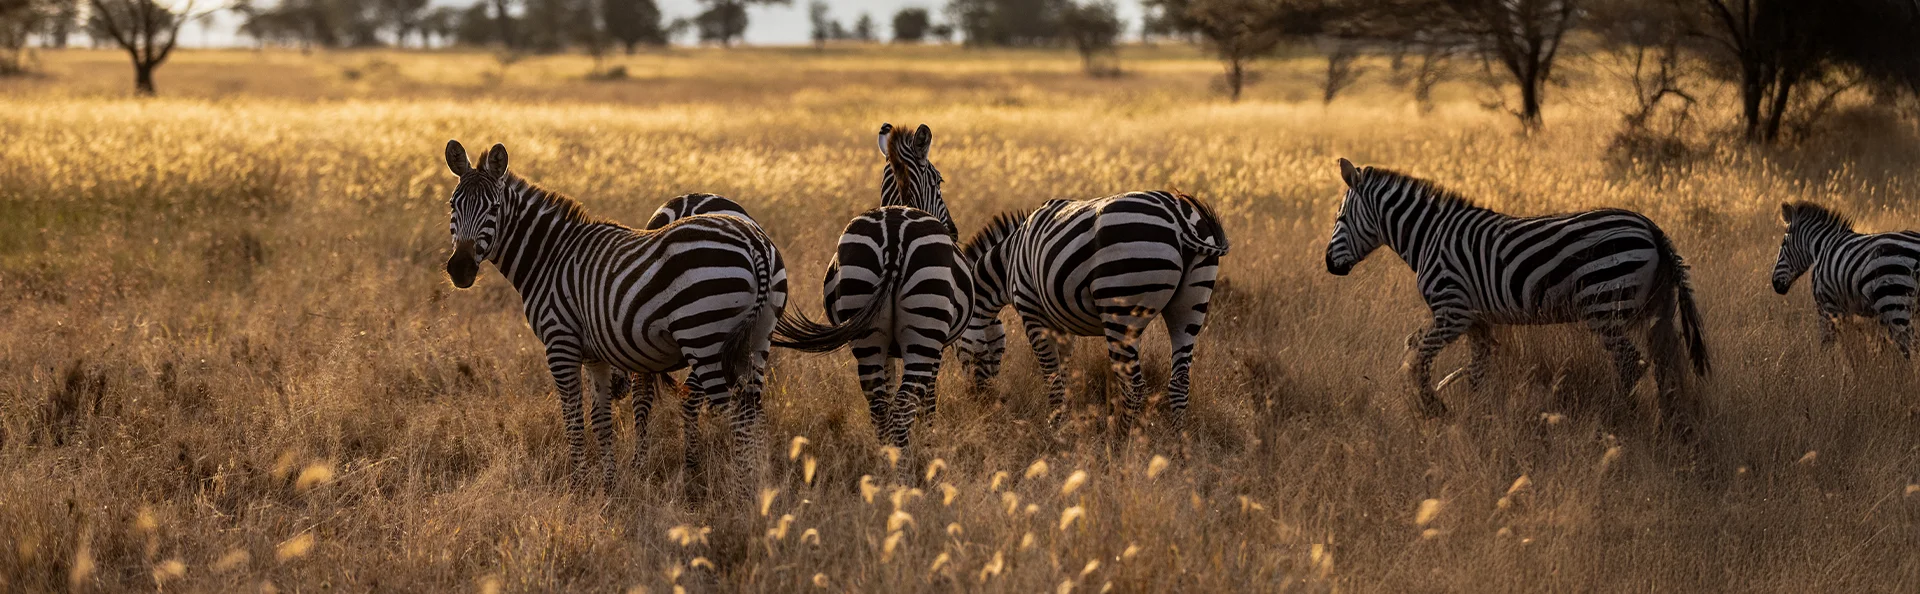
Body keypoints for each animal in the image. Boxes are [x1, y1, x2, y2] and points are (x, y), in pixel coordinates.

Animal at [440, 141, 871, 496]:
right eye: (452, 205)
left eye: (494, 209)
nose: (459, 269)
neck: (551, 256)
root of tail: (755, 245)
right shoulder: (594, 354)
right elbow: (601, 419)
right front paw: (610, 485)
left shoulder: (560, 343)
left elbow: (574, 417)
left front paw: (578, 485)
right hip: (758, 337)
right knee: (752, 411)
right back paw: (758, 487)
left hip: (704, 335)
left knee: (732, 414)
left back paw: (739, 494)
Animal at [773, 123, 971, 461]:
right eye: (939, 180)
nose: (955, 232)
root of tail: (893, 237)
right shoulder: (939, 348)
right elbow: (928, 401)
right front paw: (929, 441)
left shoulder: (888, 347)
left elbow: (889, 392)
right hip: (925, 331)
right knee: (904, 404)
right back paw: (903, 468)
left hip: (866, 330)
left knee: (878, 403)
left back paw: (886, 463)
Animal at [955, 190, 1229, 433]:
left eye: (957, 349)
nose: (979, 399)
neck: (1009, 260)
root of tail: (1180, 219)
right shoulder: (1061, 322)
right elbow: (1062, 373)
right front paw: (1062, 421)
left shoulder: (1030, 309)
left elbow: (1051, 375)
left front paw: (1054, 428)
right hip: (1190, 308)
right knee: (1179, 381)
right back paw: (1177, 445)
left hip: (1121, 309)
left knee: (1135, 387)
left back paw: (1118, 441)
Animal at [1323, 158, 1710, 433]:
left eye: (1340, 218)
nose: (1328, 264)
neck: (1430, 236)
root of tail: (1653, 229)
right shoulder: (1476, 321)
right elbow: (1475, 372)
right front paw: (1477, 418)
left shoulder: (1453, 312)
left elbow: (1417, 360)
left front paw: (1436, 411)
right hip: (1658, 309)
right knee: (1666, 364)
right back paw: (1668, 423)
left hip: (1605, 305)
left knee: (1632, 362)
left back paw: (1621, 419)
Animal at [1772, 201, 1920, 358]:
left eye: (1783, 244)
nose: (1775, 284)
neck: (1823, 248)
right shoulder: (1845, 306)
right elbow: (1848, 341)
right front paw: (1854, 361)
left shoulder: (1826, 304)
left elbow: (1827, 341)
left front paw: (1825, 362)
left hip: (1894, 300)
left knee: (1908, 345)